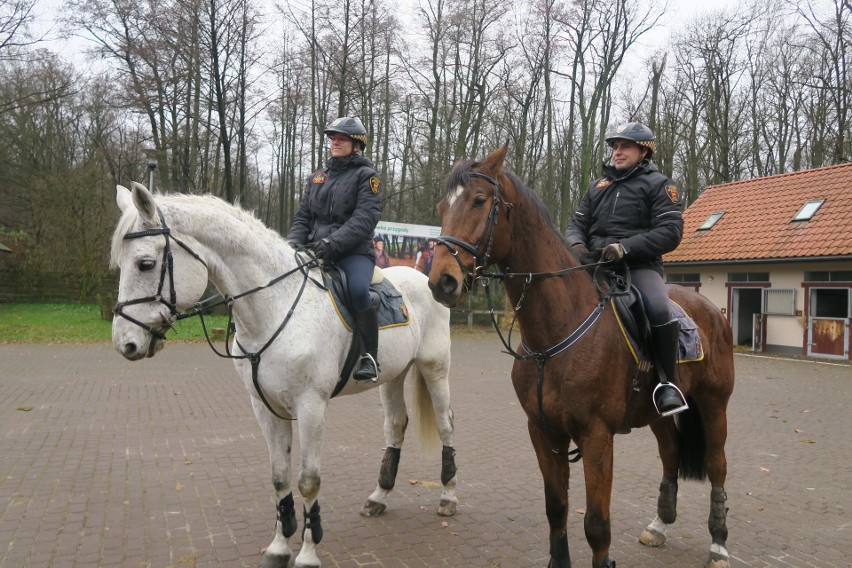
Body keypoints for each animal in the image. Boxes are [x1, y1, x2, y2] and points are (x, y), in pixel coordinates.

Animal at [113, 182, 460, 568]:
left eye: (145, 263)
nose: (125, 343)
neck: (277, 305)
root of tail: (423, 278)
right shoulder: (265, 407)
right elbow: (279, 478)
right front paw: (279, 547)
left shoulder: (311, 407)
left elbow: (308, 481)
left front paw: (308, 552)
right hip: (392, 376)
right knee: (396, 426)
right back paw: (379, 497)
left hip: (435, 368)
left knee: (445, 424)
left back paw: (448, 498)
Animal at [430, 145, 736, 568]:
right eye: (441, 206)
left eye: (479, 200)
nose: (441, 281)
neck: (557, 332)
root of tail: (712, 311)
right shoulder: (542, 431)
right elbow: (556, 509)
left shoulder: (596, 436)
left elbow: (596, 526)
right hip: (658, 413)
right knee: (670, 453)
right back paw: (659, 525)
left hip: (713, 406)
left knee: (717, 466)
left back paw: (719, 544)